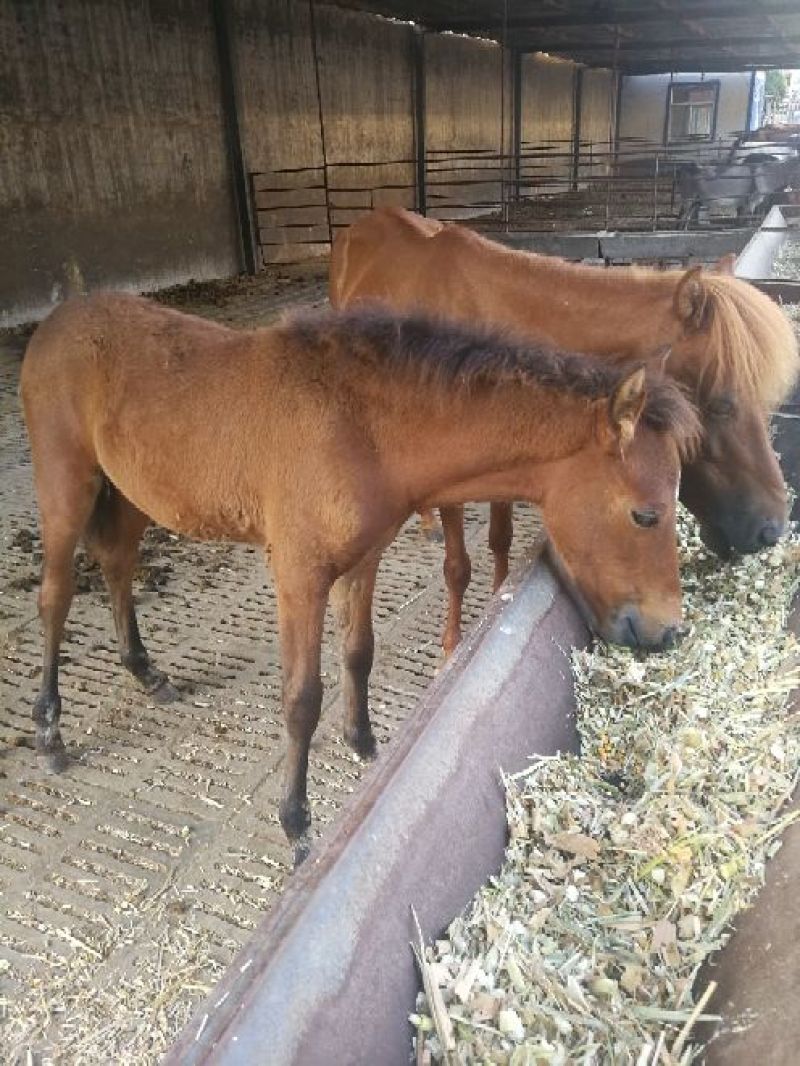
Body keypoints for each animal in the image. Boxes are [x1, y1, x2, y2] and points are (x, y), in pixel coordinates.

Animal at [21, 293, 699, 845]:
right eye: (645, 514)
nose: (668, 631)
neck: (358, 426)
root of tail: (55, 321)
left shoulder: (364, 559)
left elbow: (358, 653)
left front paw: (364, 743)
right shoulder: (298, 577)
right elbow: (301, 699)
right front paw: (297, 825)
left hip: (131, 494)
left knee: (117, 566)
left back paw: (145, 671)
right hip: (65, 486)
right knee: (55, 596)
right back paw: (51, 733)